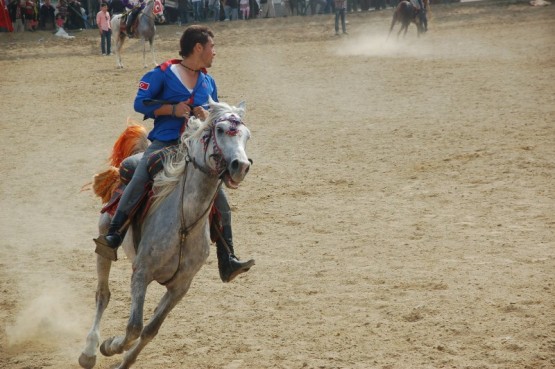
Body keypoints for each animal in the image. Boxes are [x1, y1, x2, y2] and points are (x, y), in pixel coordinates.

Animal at [78, 98, 252, 368]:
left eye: (247, 136)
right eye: (221, 130)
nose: (240, 166)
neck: (184, 224)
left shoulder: (180, 287)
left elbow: (150, 329)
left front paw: (124, 362)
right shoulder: (141, 274)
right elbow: (134, 327)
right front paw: (110, 346)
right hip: (104, 243)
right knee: (103, 294)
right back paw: (89, 351)